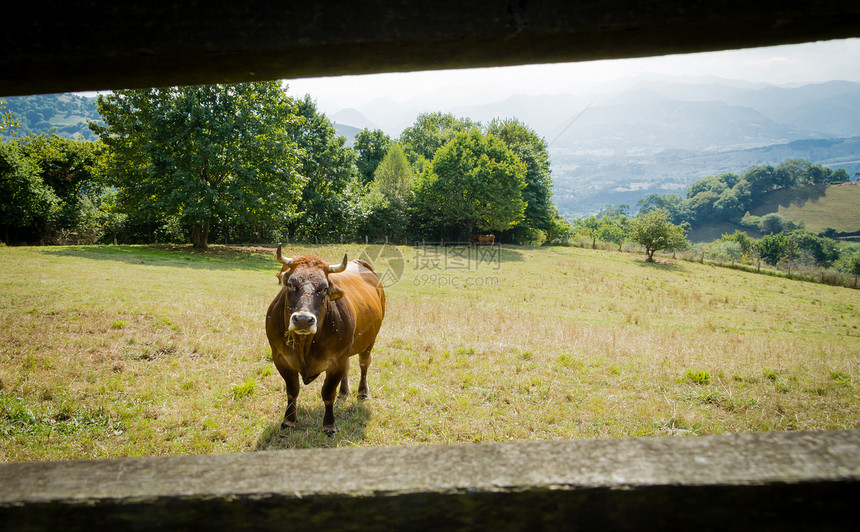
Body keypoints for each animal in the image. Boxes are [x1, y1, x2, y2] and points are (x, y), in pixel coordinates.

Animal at [262, 247, 382, 434]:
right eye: (291, 284)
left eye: (324, 288)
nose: (303, 319)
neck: (304, 344)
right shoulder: (280, 357)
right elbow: (292, 390)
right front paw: (288, 421)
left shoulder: (337, 361)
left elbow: (328, 393)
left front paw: (329, 425)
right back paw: (344, 392)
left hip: (369, 342)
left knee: (364, 364)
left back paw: (362, 392)